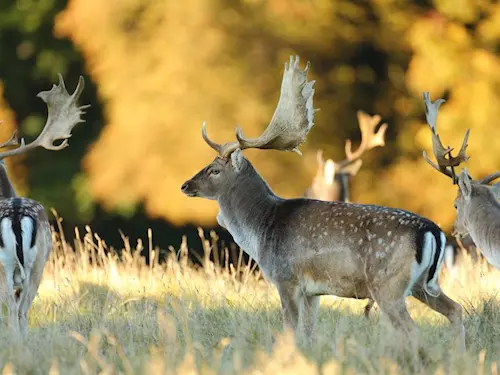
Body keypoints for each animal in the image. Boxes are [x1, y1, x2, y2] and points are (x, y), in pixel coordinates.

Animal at [182, 55, 466, 352]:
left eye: (214, 170)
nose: (185, 185)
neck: (261, 230)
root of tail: (432, 231)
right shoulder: (312, 292)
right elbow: (307, 333)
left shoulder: (286, 279)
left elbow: (290, 331)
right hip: (424, 284)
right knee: (456, 310)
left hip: (388, 284)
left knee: (412, 329)